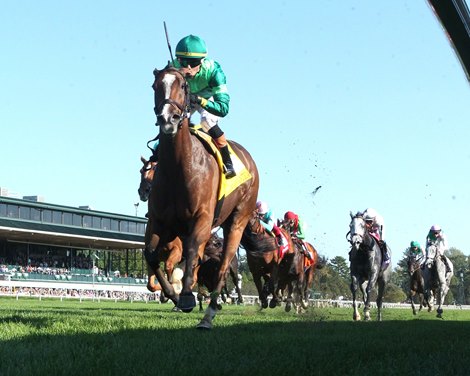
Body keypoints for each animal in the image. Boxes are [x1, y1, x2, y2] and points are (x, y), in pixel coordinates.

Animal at [146, 67, 258, 328]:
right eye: (156, 86)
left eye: (183, 86)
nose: (168, 119)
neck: (179, 167)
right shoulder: (160, 222)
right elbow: (151, 255)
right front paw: (172, 294)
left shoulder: (202, 219)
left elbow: (190, 254)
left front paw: (186, 296)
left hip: (237, 221)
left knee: (224, 266)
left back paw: (209, 313)